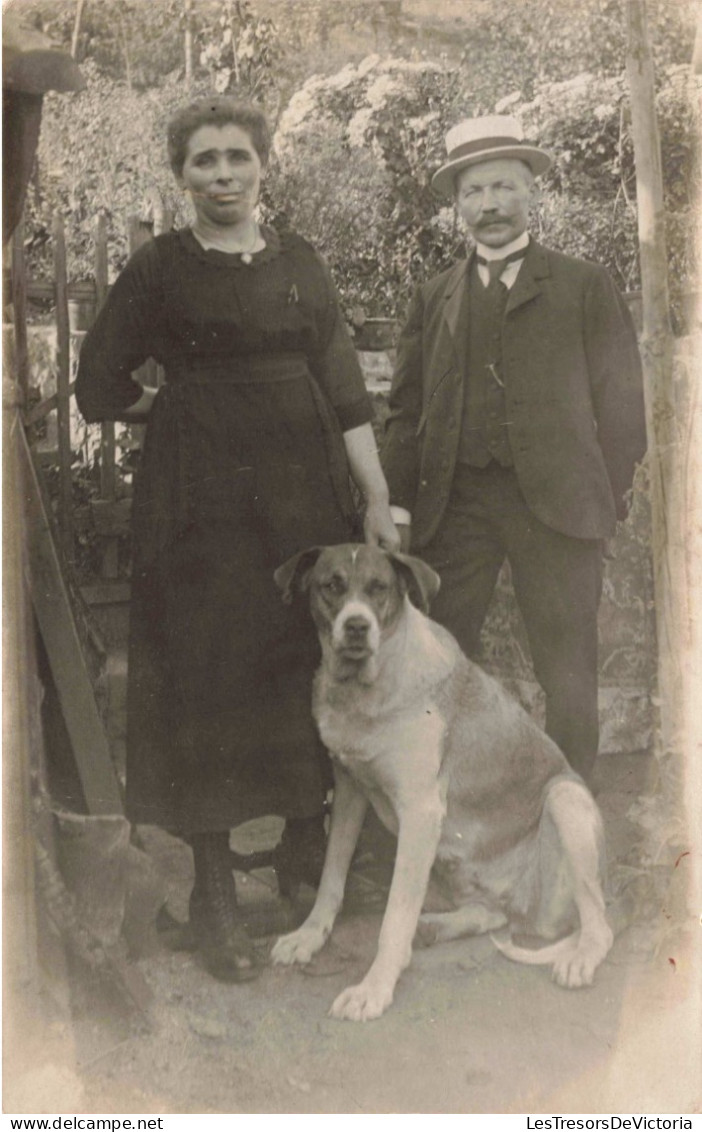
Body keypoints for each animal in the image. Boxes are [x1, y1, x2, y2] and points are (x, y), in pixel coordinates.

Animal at [271, 543, 611, 1023]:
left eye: (379, 589)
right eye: (331, 586)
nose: (357, 626)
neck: (370, 686)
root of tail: (527, 910)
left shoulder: (420, 812)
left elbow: (394, 916)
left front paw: (374, 988)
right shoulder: (349, 790)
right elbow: (331, 877)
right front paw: (308, 936)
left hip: (566, 800)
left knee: (599, 923)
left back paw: (580, 958)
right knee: (490, 914)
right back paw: (434, 927)